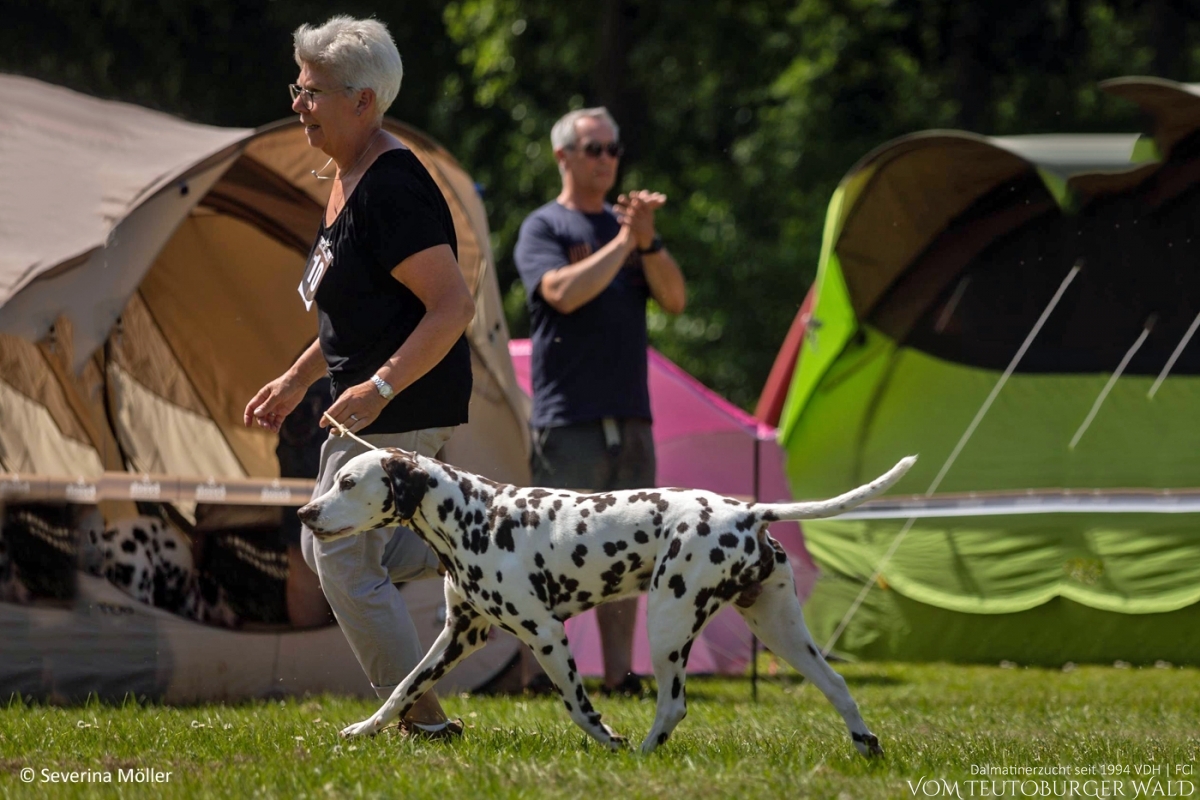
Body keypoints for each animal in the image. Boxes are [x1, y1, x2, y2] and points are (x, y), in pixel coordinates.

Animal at [300, 450, 916, 758]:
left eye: (348, 481)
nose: (305, 513)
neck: (475, 517)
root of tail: (746, 511)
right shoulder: (459, 636)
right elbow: (402, 689)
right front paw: (363, 731)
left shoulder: (545, 634)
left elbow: (577, 704)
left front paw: (606, 739)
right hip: (782, 633)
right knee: (838, 685)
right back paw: (865, 745)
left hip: (668, 626)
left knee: (672, 706)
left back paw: (641, 753)